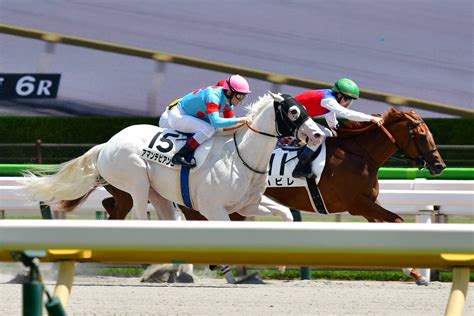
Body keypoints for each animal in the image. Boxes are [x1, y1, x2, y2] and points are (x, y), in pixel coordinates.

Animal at [21, 92, 318, 221]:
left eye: (305, 108)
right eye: (294, 111)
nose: (317, 134)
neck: (242, 157)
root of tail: (106, 145)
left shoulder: (246, 205)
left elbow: (286, 214)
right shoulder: (213, 208)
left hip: (158, 194)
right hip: (136, 182)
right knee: (139, 216)